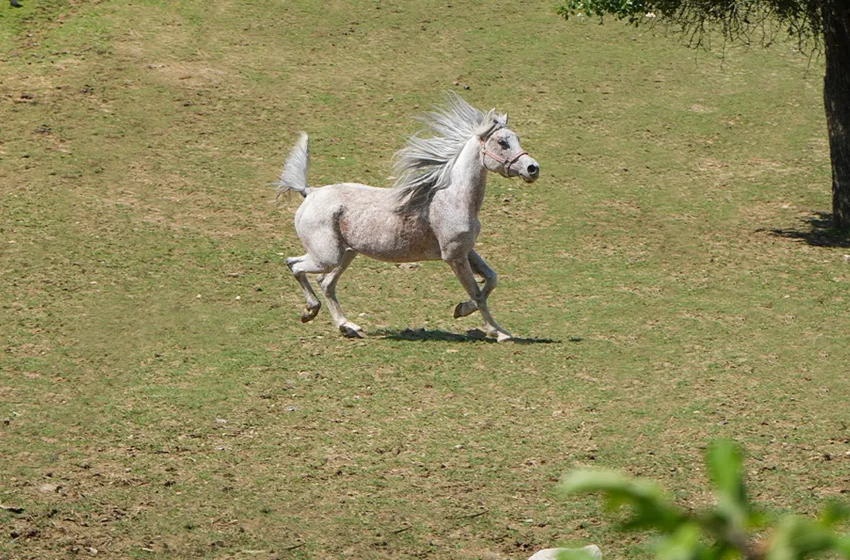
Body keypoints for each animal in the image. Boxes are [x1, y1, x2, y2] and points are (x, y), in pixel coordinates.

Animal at [274, 94, 540, 342]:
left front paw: (463, 311)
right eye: (502, 142)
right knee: (295, 265)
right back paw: (310, 311)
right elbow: (476, 292)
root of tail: (310, 192)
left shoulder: (467, 251)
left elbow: (491, 279)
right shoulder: (454, 256)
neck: (452, 198)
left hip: (346, 254)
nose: (533, 169)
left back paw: (348, 327)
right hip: (327, 257)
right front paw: (498, 332)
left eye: (517, 139)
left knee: (325, 283)